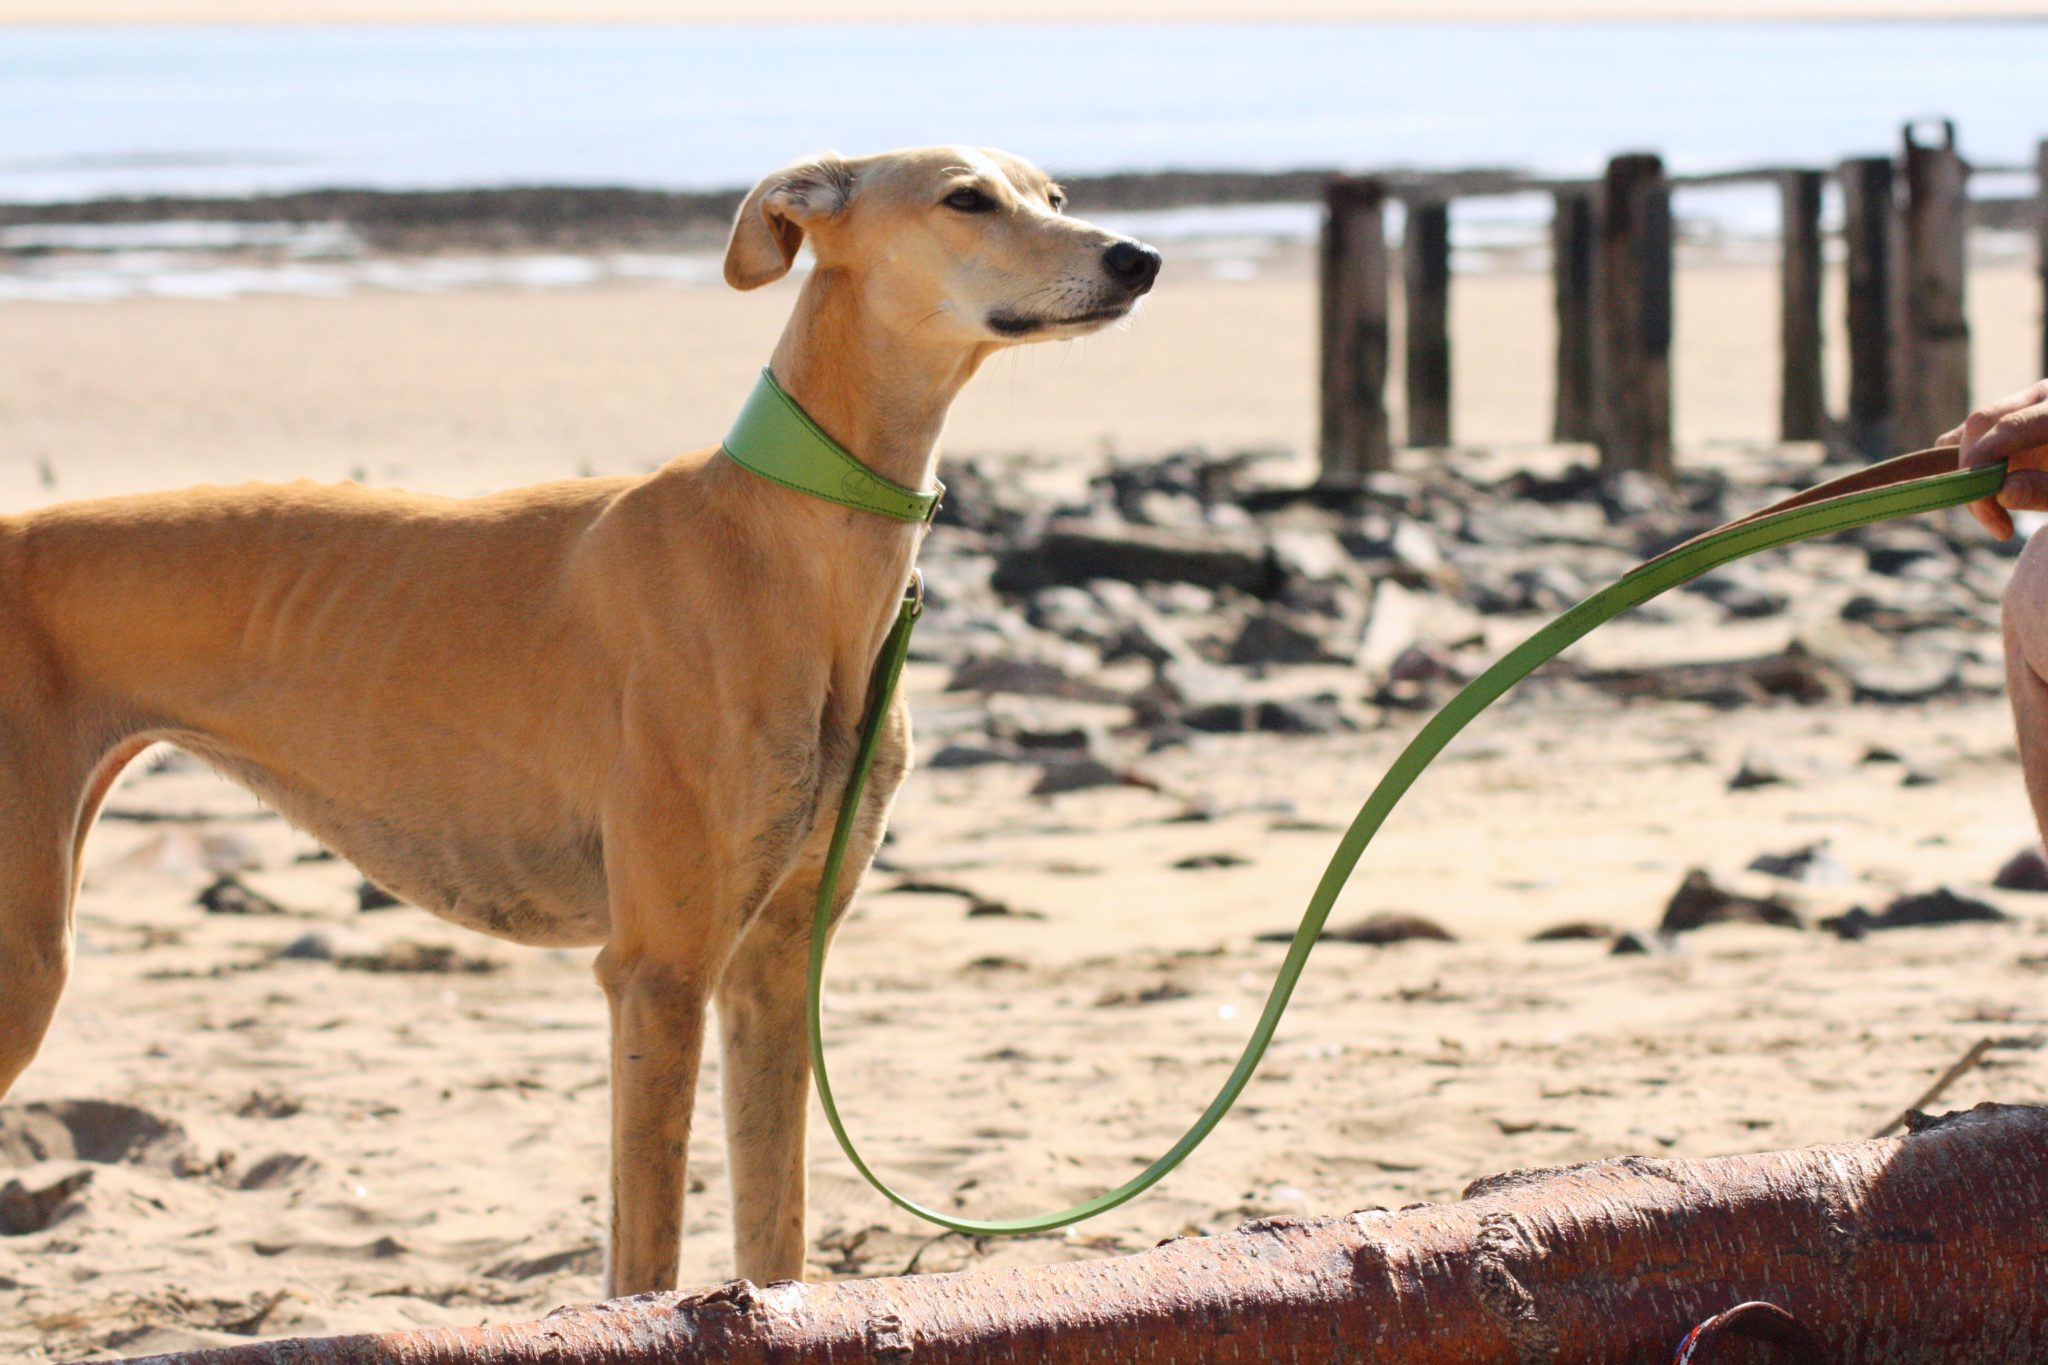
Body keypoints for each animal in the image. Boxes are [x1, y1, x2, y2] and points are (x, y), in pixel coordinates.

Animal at [0, 144, 1155, 1301]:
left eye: (1053, 195)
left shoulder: (775, 965)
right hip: (26, 957)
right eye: (966, 198)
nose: (1137, 257)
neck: (789, 536)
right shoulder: (657, 971)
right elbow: (644, 1264)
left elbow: (775, 1233)